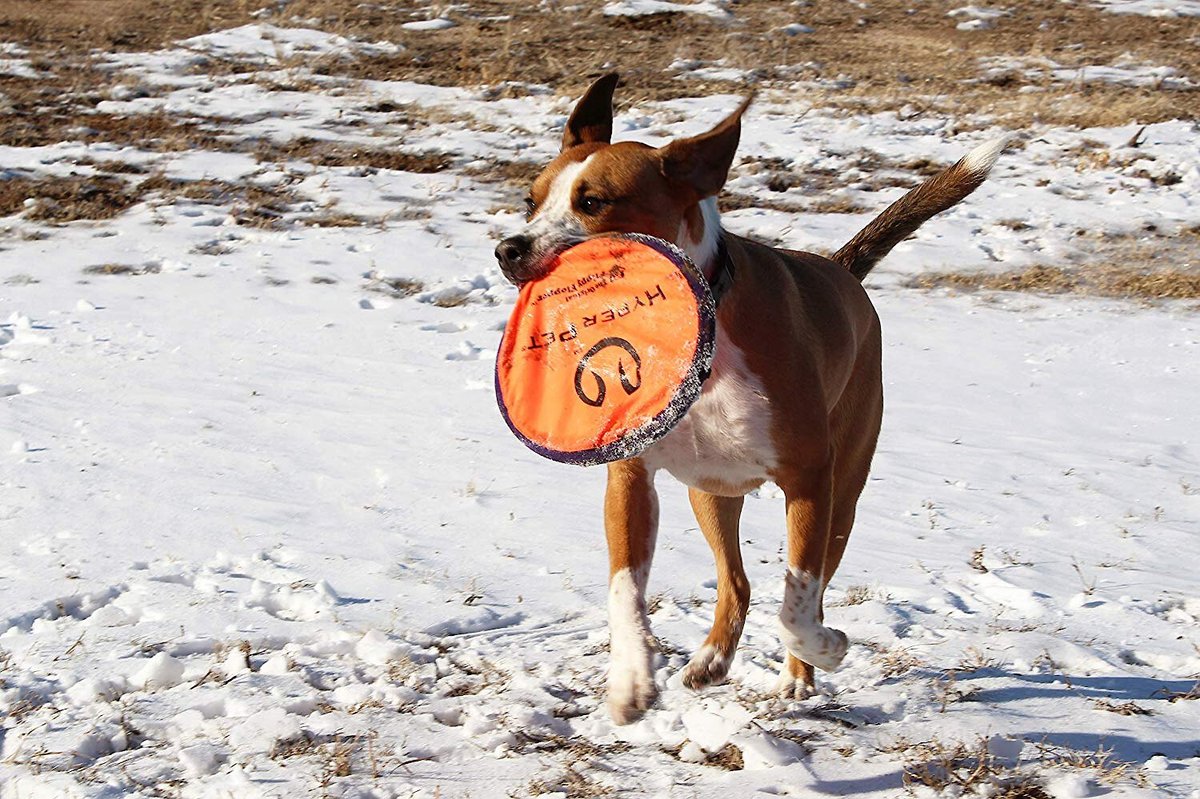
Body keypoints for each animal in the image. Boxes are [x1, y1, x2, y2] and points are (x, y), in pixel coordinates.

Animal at [492, 73, 998, 719]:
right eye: (530, 201)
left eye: (593, 202)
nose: (509, 250)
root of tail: (842, 271)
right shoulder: (629, 480)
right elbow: (624, 589)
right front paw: (630, 678)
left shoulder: (809, 481)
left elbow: (798, 603)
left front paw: (825, 649)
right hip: (711, 491)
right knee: (736, 580)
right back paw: (710, 659)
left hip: (843, 493)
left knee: (809, 588)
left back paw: (798, 675)